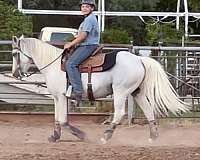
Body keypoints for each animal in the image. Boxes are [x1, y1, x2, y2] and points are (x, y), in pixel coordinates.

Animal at [11, 36, 190, 144]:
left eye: (14, 54)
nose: (14, 74)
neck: (54, 65)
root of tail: (139, 59)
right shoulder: (57, 97)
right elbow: (57, 119)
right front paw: (55, 136)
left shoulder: (61, 97)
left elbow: (62, 120)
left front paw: (81, 135)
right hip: (136, 92)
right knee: (148, 110)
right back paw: (153, 137)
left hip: (120, 92)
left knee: (119, 113)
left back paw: (106, 136)